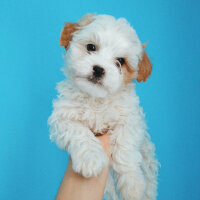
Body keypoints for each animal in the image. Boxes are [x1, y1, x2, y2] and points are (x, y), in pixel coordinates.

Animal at [48, 14, 158, 200]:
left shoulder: (131, 119)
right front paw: (90, 159)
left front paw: (133, 185)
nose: (99, 69)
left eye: (120, 61)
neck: (96, 99)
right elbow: (79, 133)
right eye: (91, 47)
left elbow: (125, 147)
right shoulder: (63, 116)